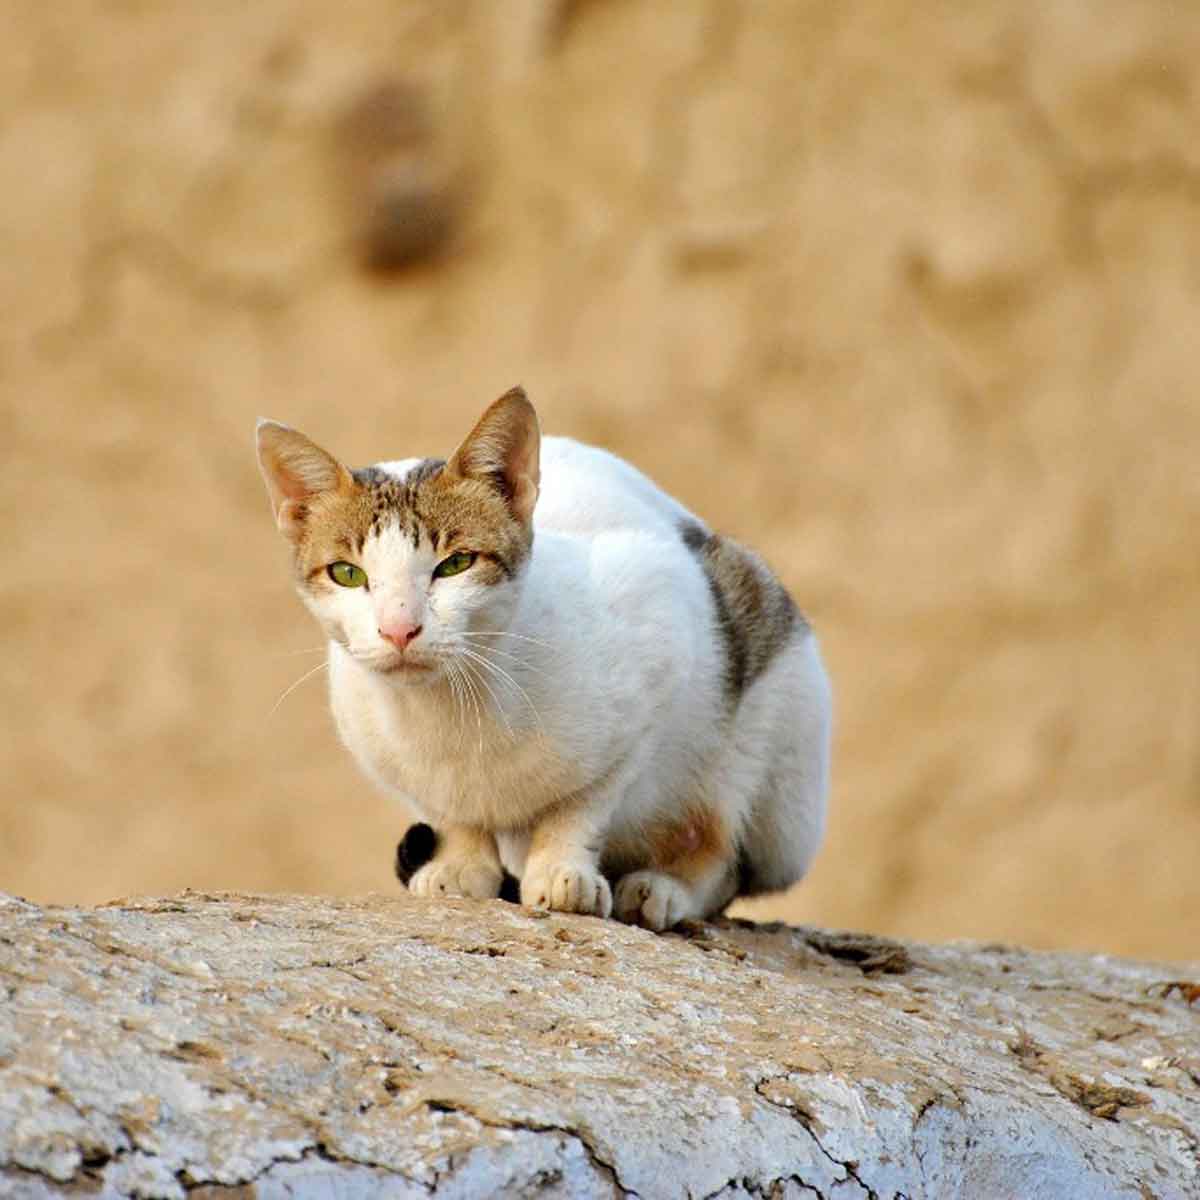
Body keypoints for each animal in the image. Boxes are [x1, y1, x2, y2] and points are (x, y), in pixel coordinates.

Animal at [256, 388, 830, 931]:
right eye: (347, 574)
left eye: (456, 564)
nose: (399, 629)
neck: (454, 710)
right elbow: (449, 812)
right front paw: (462, 862)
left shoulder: (657, 643)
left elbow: (583, 803)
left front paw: (562, 871)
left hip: (773, 733)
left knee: (723, 848)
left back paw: (664, 888)